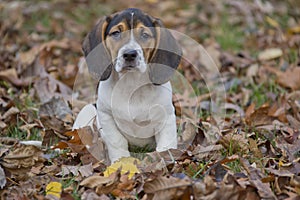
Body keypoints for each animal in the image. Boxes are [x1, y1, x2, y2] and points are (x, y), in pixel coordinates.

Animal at [73, 7, 180, 163]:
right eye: (116, 33)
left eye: (145, 35)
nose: (129, 54)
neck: (131, 83)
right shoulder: (106, 116)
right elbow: (117, 141)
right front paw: (121, 162)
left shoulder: (166, 117)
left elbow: (166, 145)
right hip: (86, 110)